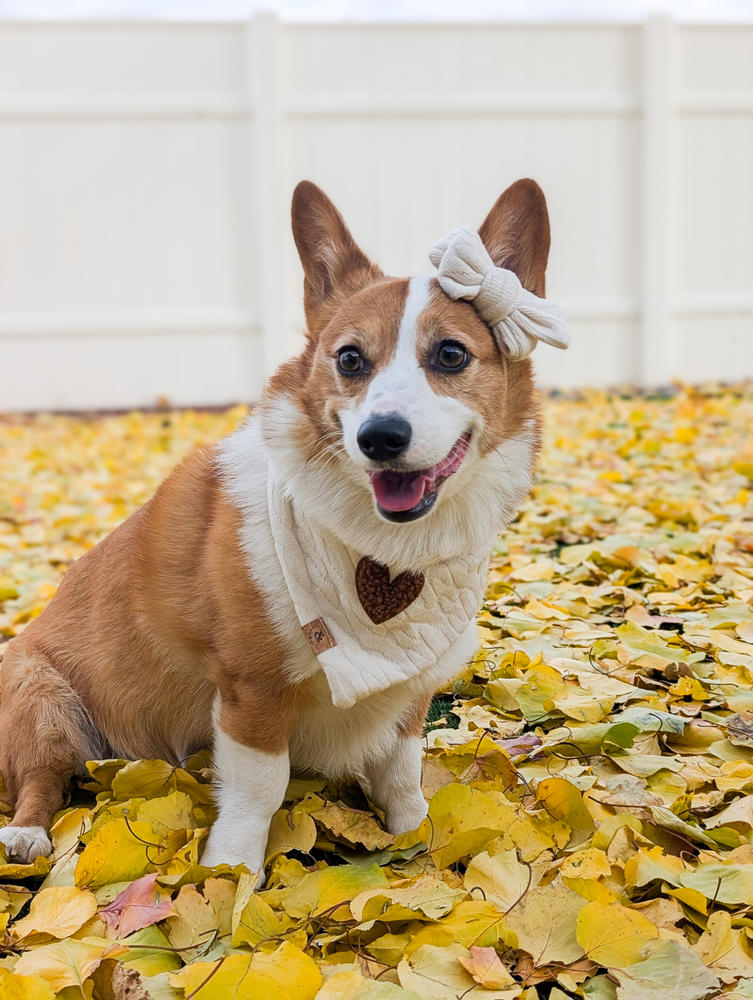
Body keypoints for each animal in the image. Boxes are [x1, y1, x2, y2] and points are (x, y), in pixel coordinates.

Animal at [0, 178, 560, 884]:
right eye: (350, 359)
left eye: (452, 354)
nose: (380, 438)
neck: (384, 556)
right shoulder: (252, 693)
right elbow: (260, 789)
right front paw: (231, 873)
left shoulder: (410, 690)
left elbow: (402, 770)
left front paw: (416, 838)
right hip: (39, 695)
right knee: (42, 780)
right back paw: (26, 836)